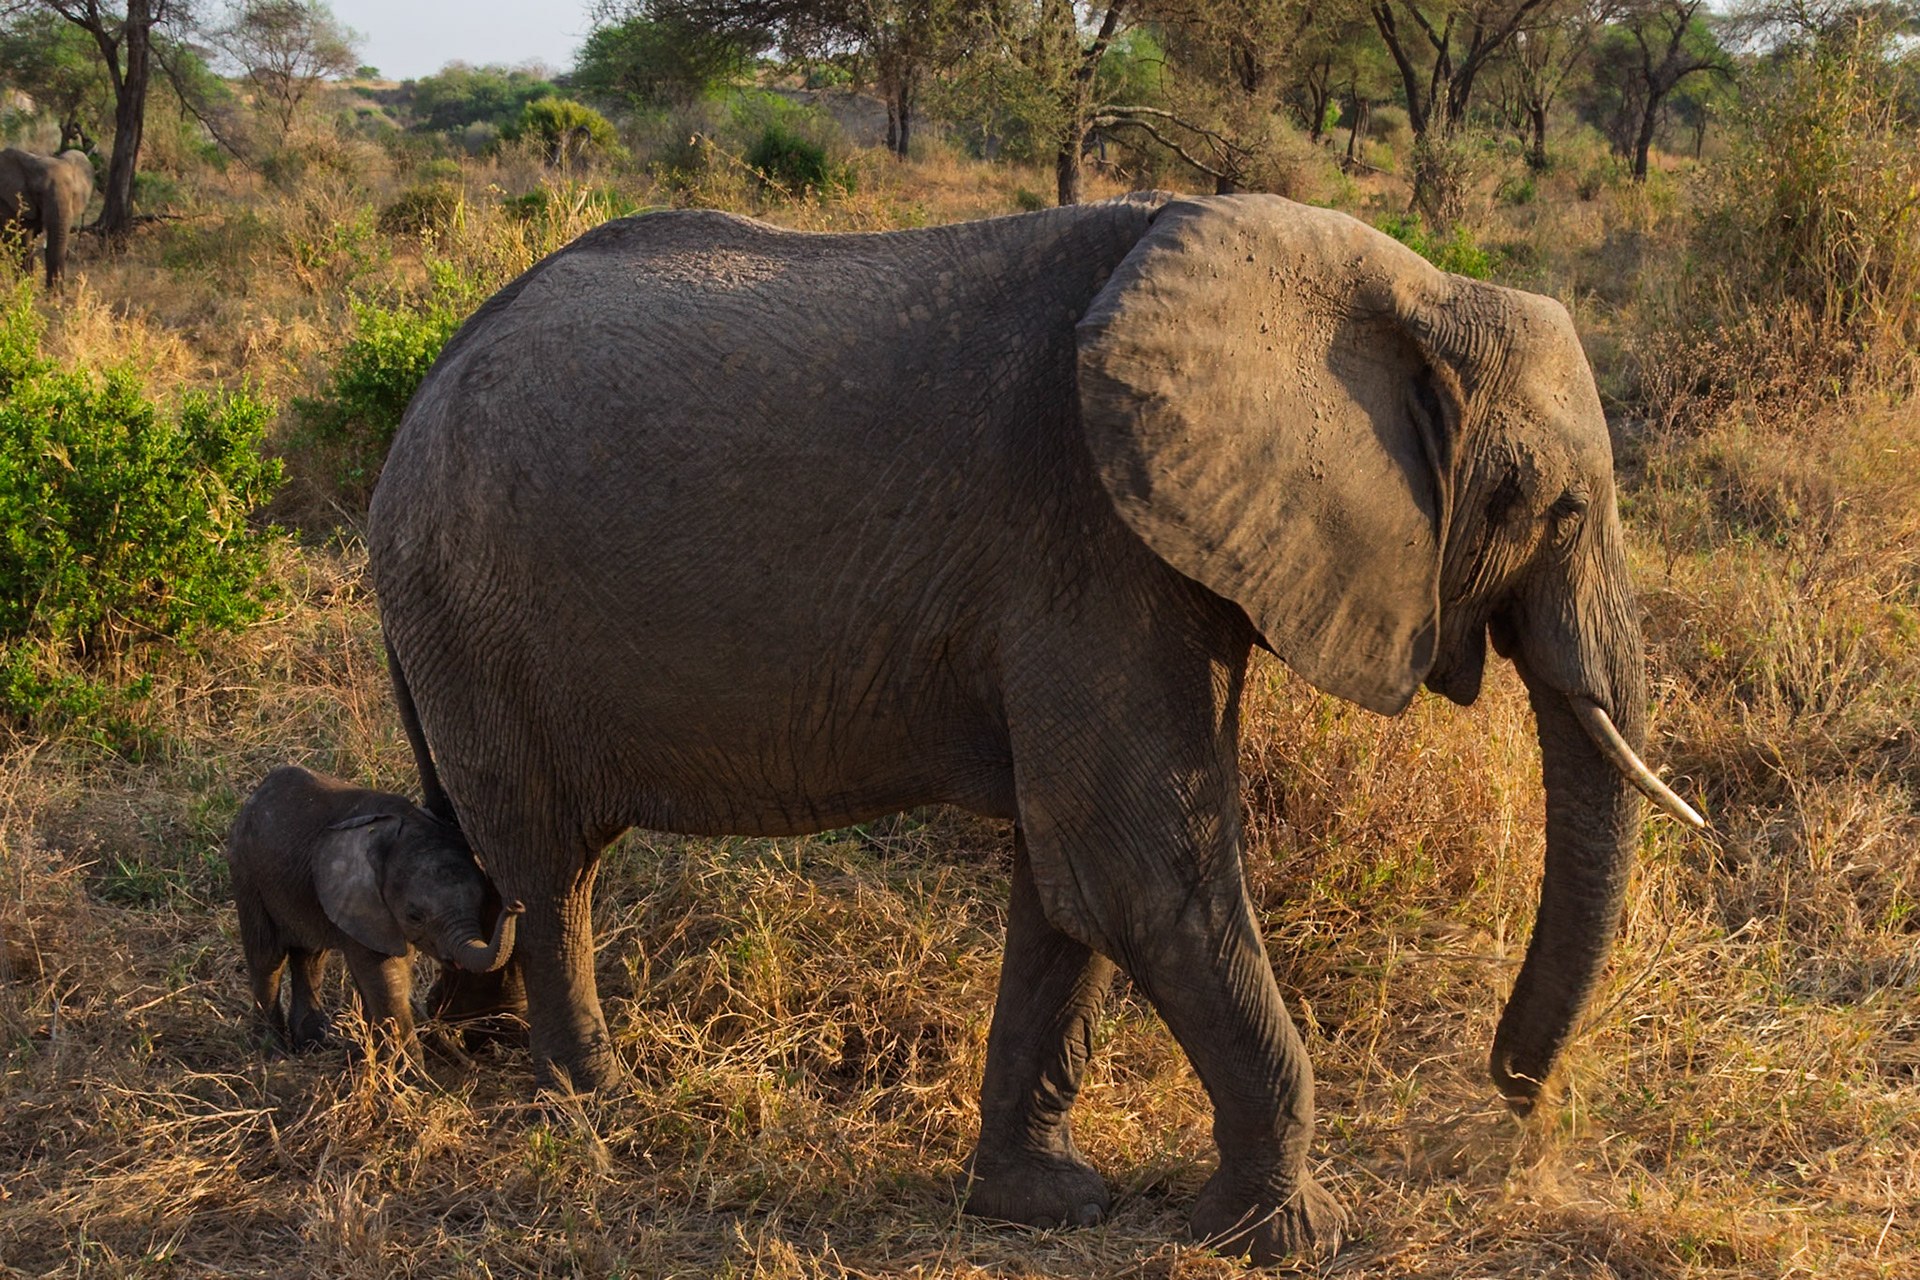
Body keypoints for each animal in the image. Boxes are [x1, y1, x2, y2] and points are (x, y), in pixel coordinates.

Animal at [227, 765, 523, 1058]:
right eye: (415, 916)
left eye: (481, 902)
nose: (516, 905)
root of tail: (258, 792)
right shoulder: (362, 901)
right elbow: (388, 978)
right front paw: (409, 1070)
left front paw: (364, 1055)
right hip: (246, 873)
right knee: (267, 958)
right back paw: (273, 1053)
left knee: (310, 956)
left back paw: (316, 1044)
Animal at [367, 193, 1701, 1261]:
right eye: (1539, 504)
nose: (1509, 1100)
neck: (1401, 290)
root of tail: (428, 377)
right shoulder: (1091, 534)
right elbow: (1136, 867)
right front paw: (1288, 1236)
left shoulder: (1154, 550)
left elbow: (1069, 887)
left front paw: (1041, 1201)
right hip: (479, 603)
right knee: (550, 869)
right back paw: (598, 1103)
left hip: (447, 612)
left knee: (481, 850)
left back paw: (467, 1048)